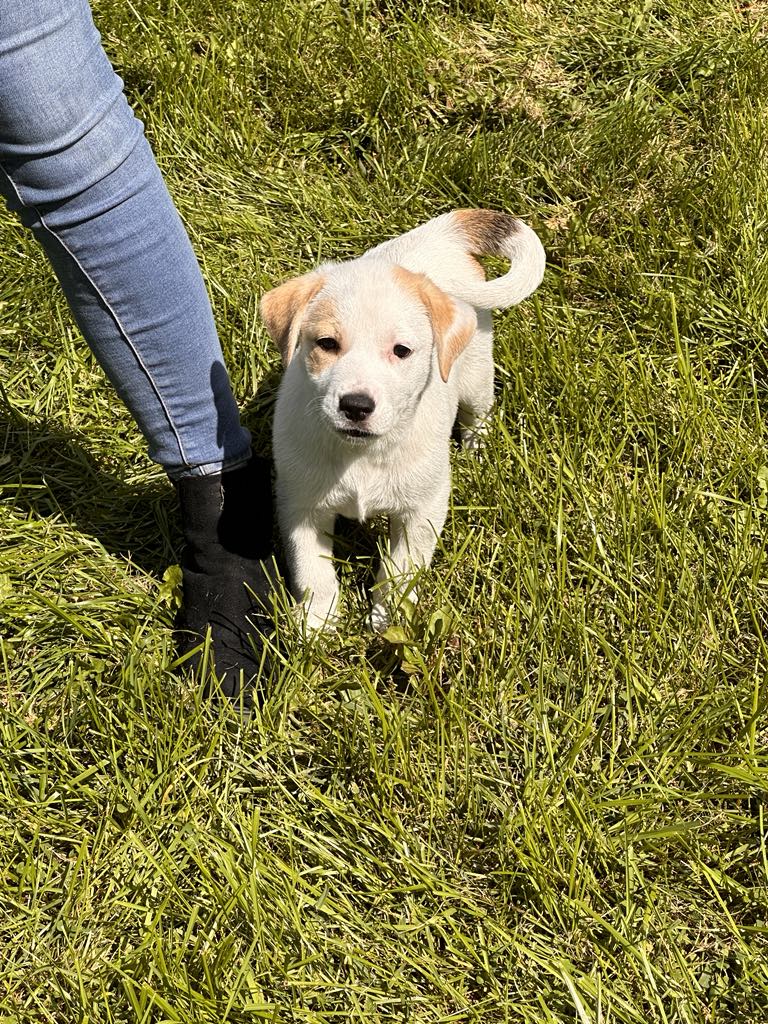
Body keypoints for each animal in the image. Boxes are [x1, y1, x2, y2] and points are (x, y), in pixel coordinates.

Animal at [262, 207, 544, 626]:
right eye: (327, 343)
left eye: (402, 351)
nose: (356, 405)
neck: (362, 455)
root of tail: (440, 234)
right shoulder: (300, 506)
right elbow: (313, 571)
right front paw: (317, 623)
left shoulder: (423, 509)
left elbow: (402, 567)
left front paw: (387, 619)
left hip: (476, 371)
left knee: (478, 412)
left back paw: (476, 448)